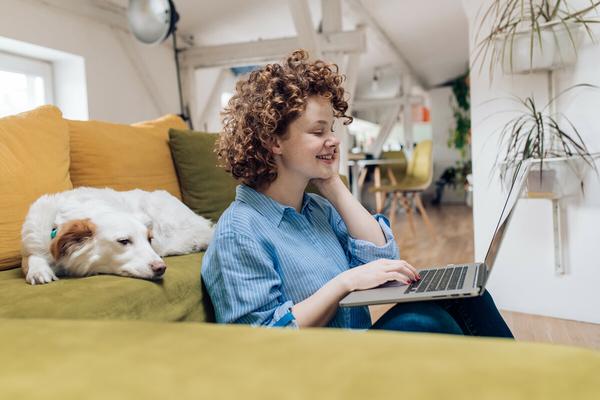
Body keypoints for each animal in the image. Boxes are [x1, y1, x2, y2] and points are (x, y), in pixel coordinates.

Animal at [21, 188, 213, 284]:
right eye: (123, 241)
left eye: (149, 239)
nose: (161, 268)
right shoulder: (31, 245)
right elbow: (33, 257)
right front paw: (39, 271)